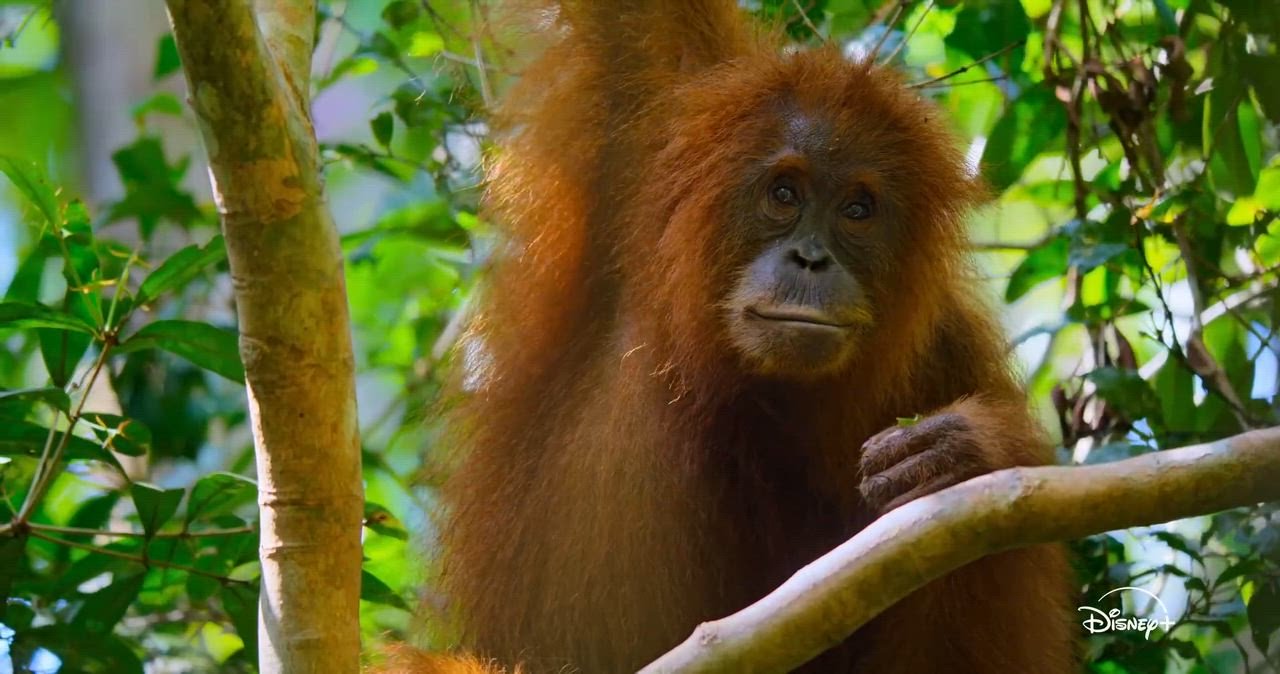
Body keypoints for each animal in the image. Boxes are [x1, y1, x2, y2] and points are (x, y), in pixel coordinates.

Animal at [390, 1, 1076, 672]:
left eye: (857, 209)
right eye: (784, 192)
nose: (810, 259)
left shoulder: (948, 355)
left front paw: (963, 452)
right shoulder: (652, 124)